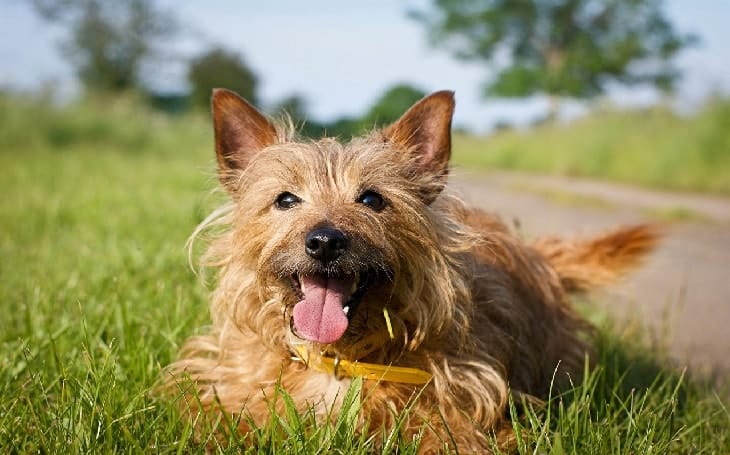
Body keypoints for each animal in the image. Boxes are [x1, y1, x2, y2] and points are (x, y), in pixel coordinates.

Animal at [166, 88, 660, 452]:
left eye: (372, 198)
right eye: (286, 199)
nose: (325, 241)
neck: (341, 359)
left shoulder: (466, 414)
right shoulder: (227, 391)